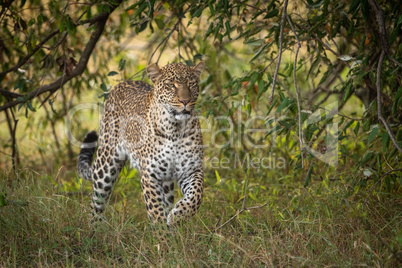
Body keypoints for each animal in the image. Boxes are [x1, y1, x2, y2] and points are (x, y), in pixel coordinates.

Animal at [77, 61, 206, 225]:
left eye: (191, 83)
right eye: (171, 85)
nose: (185, 101)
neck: (175, 129)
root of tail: (122, 83)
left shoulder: (191, 169)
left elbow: (196, 195)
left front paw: (177, 216)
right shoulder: (150, 174)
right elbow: (156, 210)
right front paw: (161, 230)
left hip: (167, 182)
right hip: (105, 165)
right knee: (96, 203)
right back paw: (93, 228)